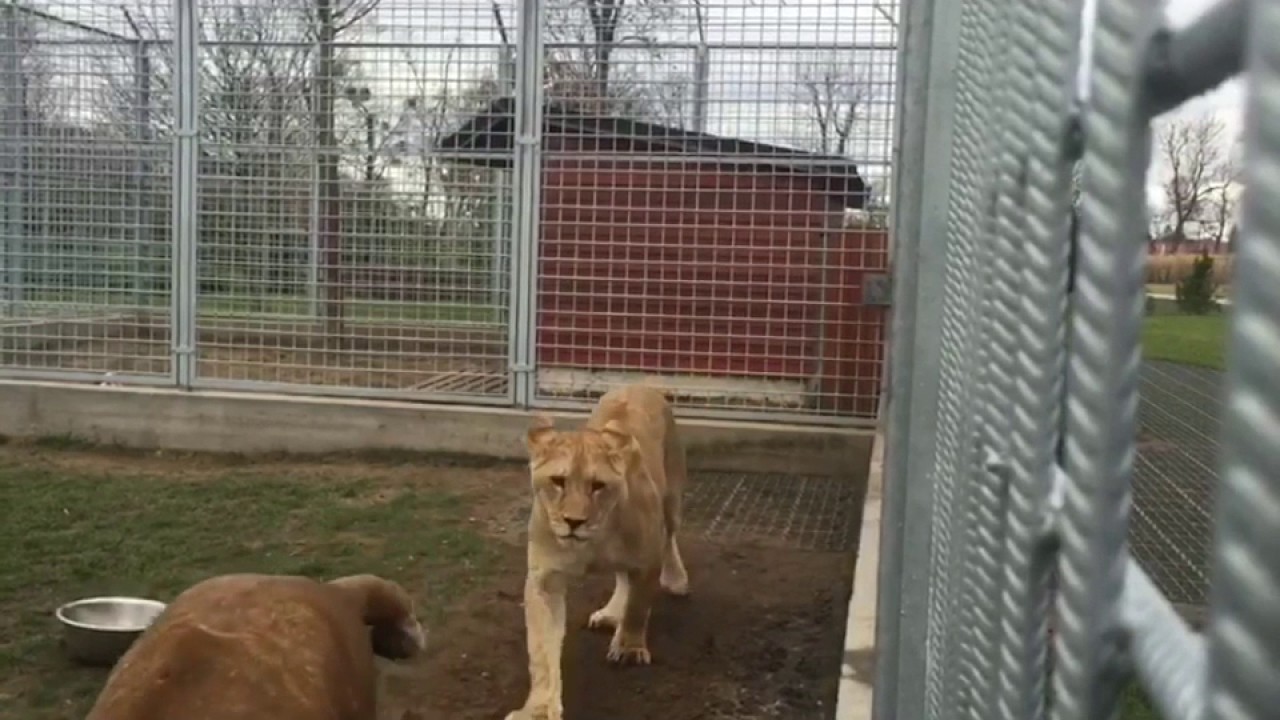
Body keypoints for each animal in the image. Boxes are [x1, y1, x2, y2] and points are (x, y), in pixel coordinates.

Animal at [505, 384, 689, 720]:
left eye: (598, 486)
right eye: (558, 481)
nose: (573, 522)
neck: (593, 540)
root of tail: (641, 383)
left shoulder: (648, 559)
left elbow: (638, 606)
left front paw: (629, 649)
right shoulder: (545, 580)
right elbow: (541, 653)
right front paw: (539, 708)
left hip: (671, 501)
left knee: (669, 538)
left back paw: (676, 579)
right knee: (622, 578)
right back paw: (611, 613)